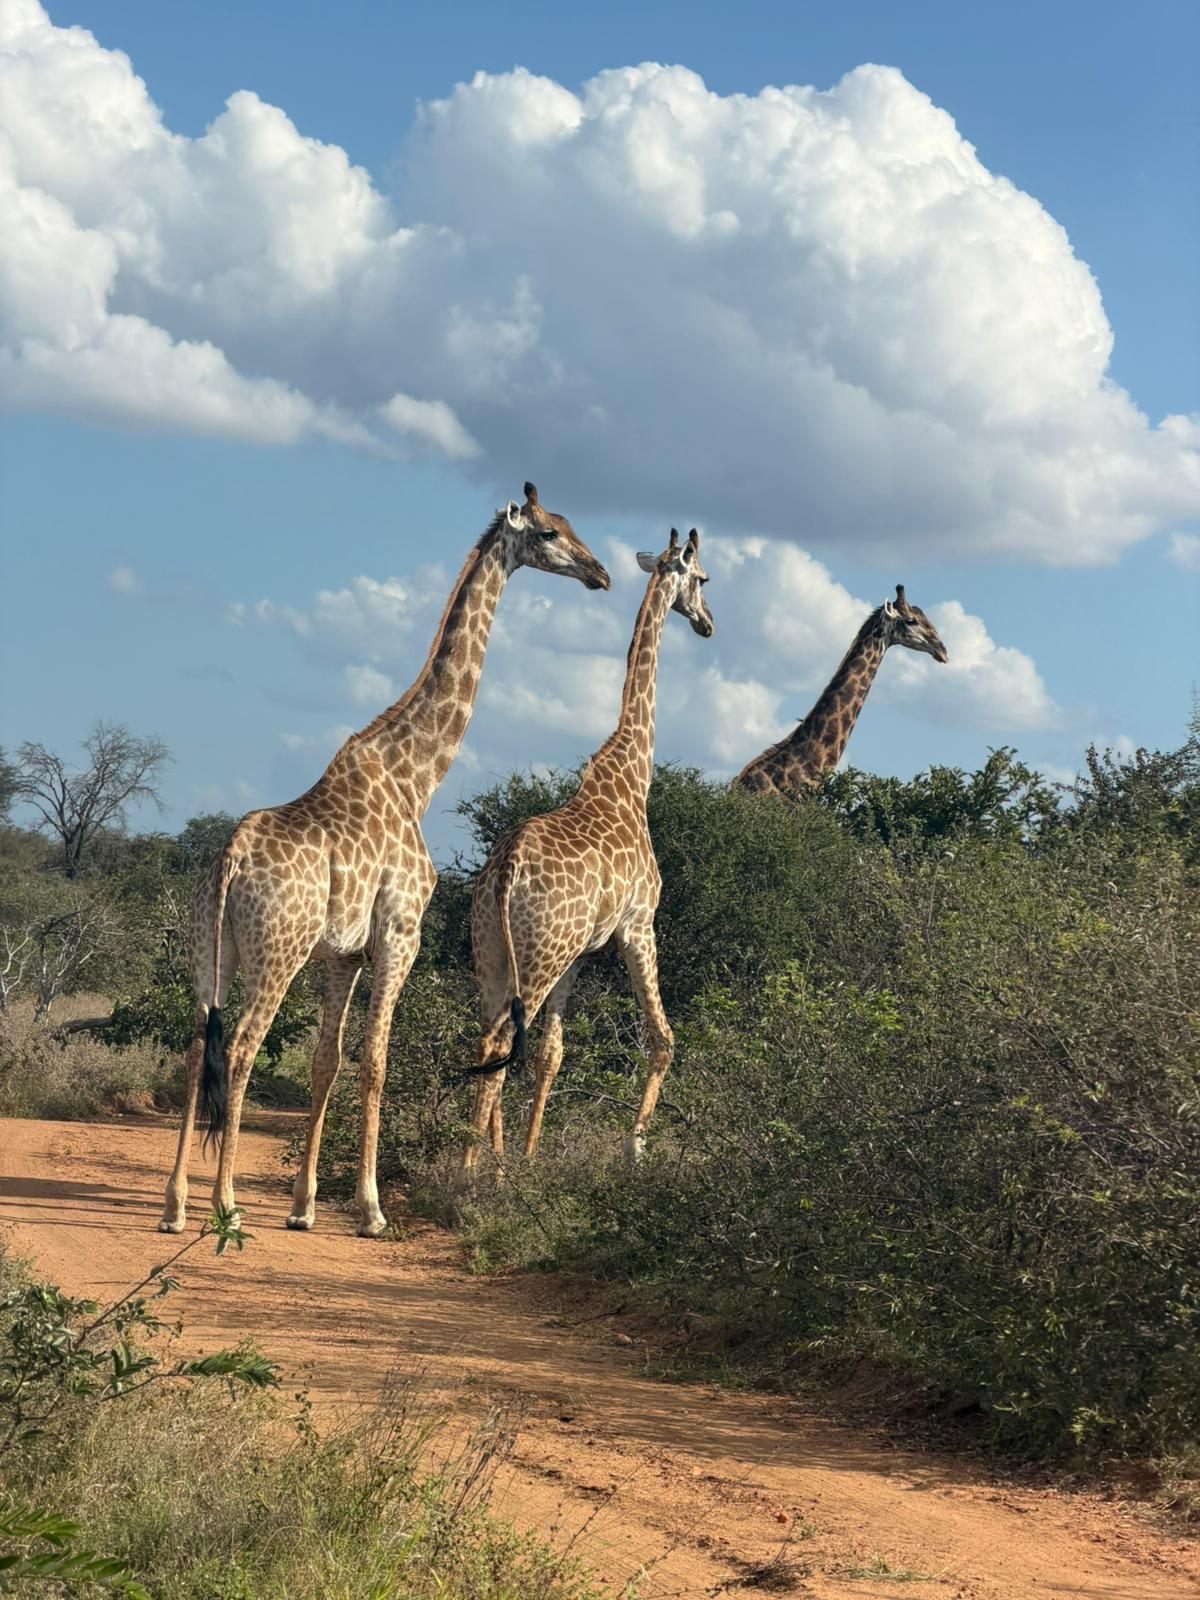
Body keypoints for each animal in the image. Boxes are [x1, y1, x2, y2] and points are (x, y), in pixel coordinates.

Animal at [158, 483, 610, 1237]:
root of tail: (229, 865)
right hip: (277, 950)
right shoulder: (401, 934)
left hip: (207, 949)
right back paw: (225, 1207)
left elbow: (326, 1059)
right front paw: (368, 1209)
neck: (415, 775)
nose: (600, 573)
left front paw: (305, 1207)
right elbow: (375, 1059)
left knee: (198, 1044)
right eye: (549, 533)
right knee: (242, 1046)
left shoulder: (342, 954)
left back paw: (174, 1204)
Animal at [460, 528, 714, 1179]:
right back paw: (472, 1167)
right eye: (703, 580)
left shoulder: (581, 951)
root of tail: (505, 873)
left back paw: (490, 1157)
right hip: (539, 952)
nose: (707, 624)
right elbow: (662, 1037)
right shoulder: (638, 925)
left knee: (490, 1037)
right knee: (500, 1041)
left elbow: (551, 1051)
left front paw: (528, 1154)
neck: (633, 773)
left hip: (494, 949)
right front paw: (636, 1146)